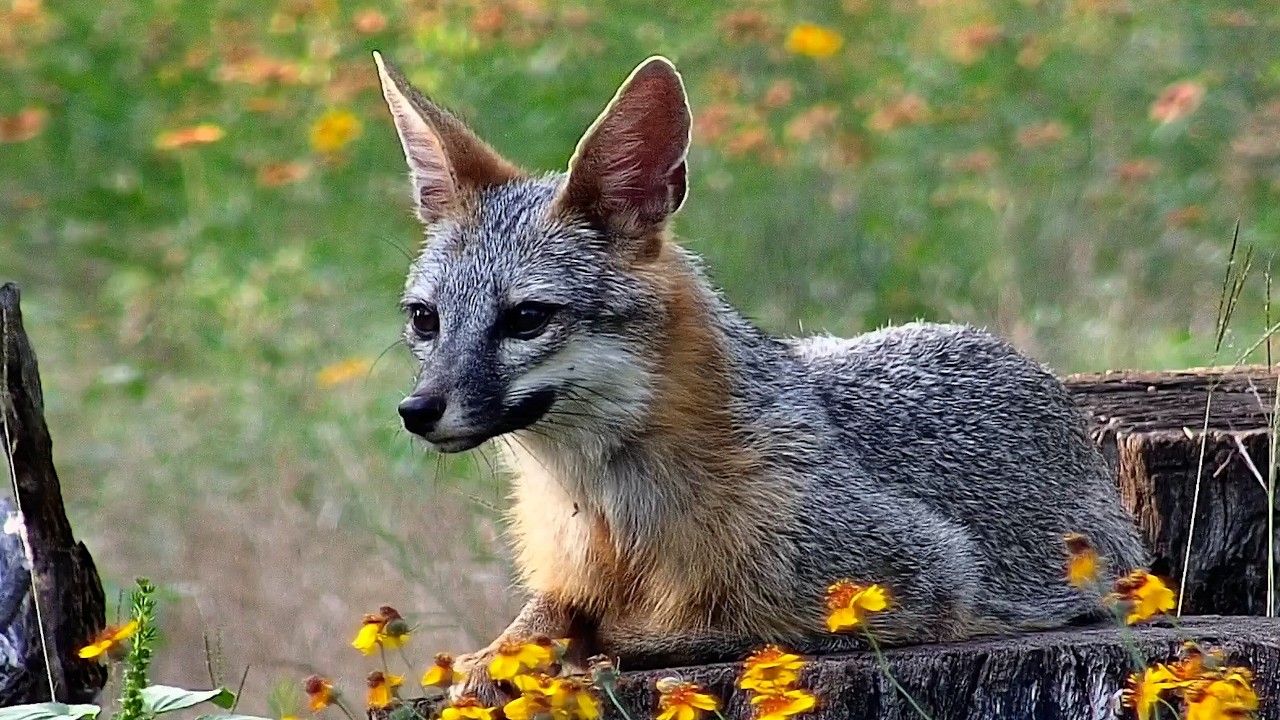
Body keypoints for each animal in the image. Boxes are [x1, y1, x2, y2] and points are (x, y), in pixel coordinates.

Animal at [371, 52, 1149, 701]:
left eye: (527, 318)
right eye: (425, 320)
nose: (417, 409)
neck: (613, 522)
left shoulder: (927, 580)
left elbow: (703, 629)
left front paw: (601, 644)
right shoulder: (567, 575)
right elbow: (538, 618)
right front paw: (495, 656)